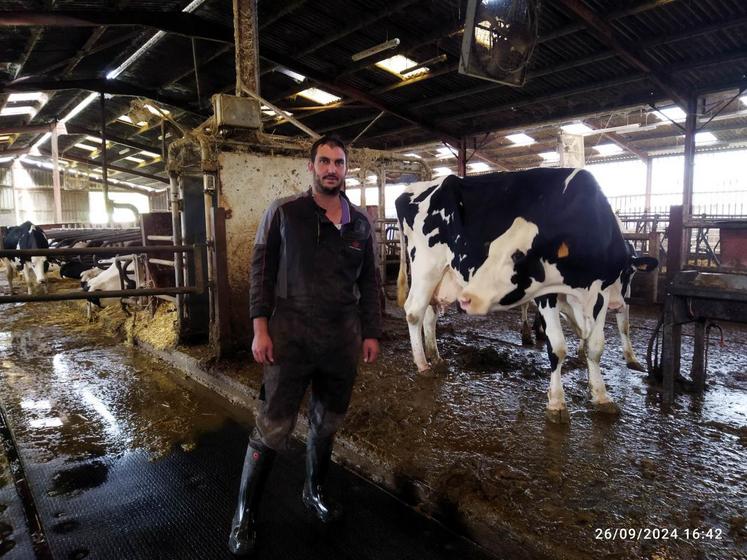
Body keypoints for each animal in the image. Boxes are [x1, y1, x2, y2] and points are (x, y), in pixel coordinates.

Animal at [394, 168, 656, 422]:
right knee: (414, 312)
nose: (619, 304)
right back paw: (423, 364)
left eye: (629, 273)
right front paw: (557, 403)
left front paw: (601, 396)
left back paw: (436, 357)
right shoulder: (547, 294)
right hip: (426, 267)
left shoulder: (599, 293)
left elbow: (595, 346)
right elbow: (557, 347)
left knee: (430, 314)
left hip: (441, 277)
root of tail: (410, 190)